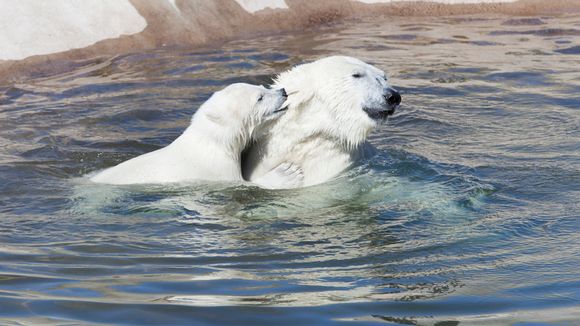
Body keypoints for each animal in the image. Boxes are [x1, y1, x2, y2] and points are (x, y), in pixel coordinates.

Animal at [92, 83, 300, 186]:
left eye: (263, 86)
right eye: (259, 98)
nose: (283, 91)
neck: (213, 142)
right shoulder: (213, 171)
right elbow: (242, 184)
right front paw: (287, 173)